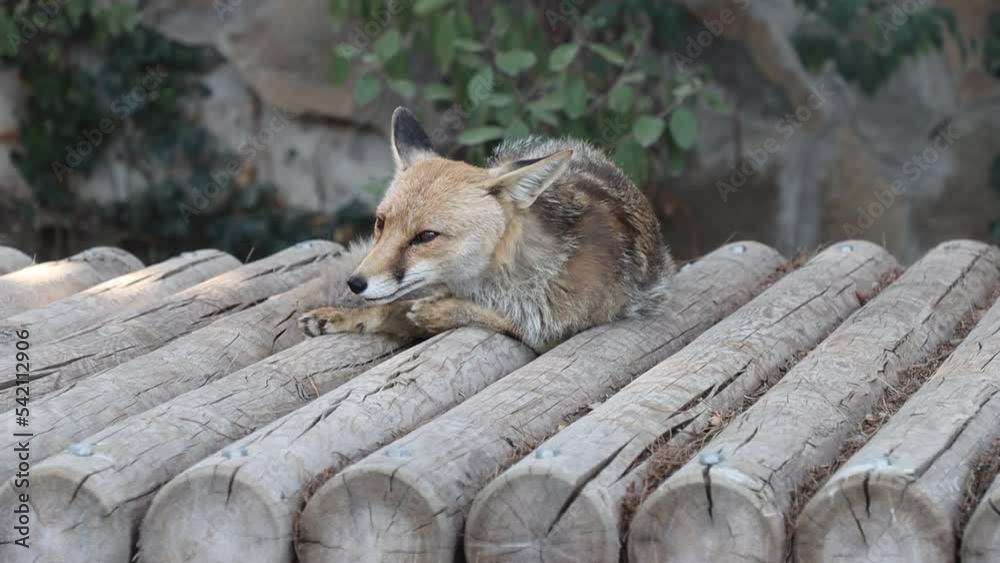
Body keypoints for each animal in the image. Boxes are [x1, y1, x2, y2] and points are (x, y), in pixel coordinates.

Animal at [297, 107, 675, 352]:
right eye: (381, 223)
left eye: (426, 236)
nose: (355, 283)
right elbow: (388, 309)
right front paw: (343, 316)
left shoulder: (560, 330)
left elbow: (505, 321)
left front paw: (439, 312)